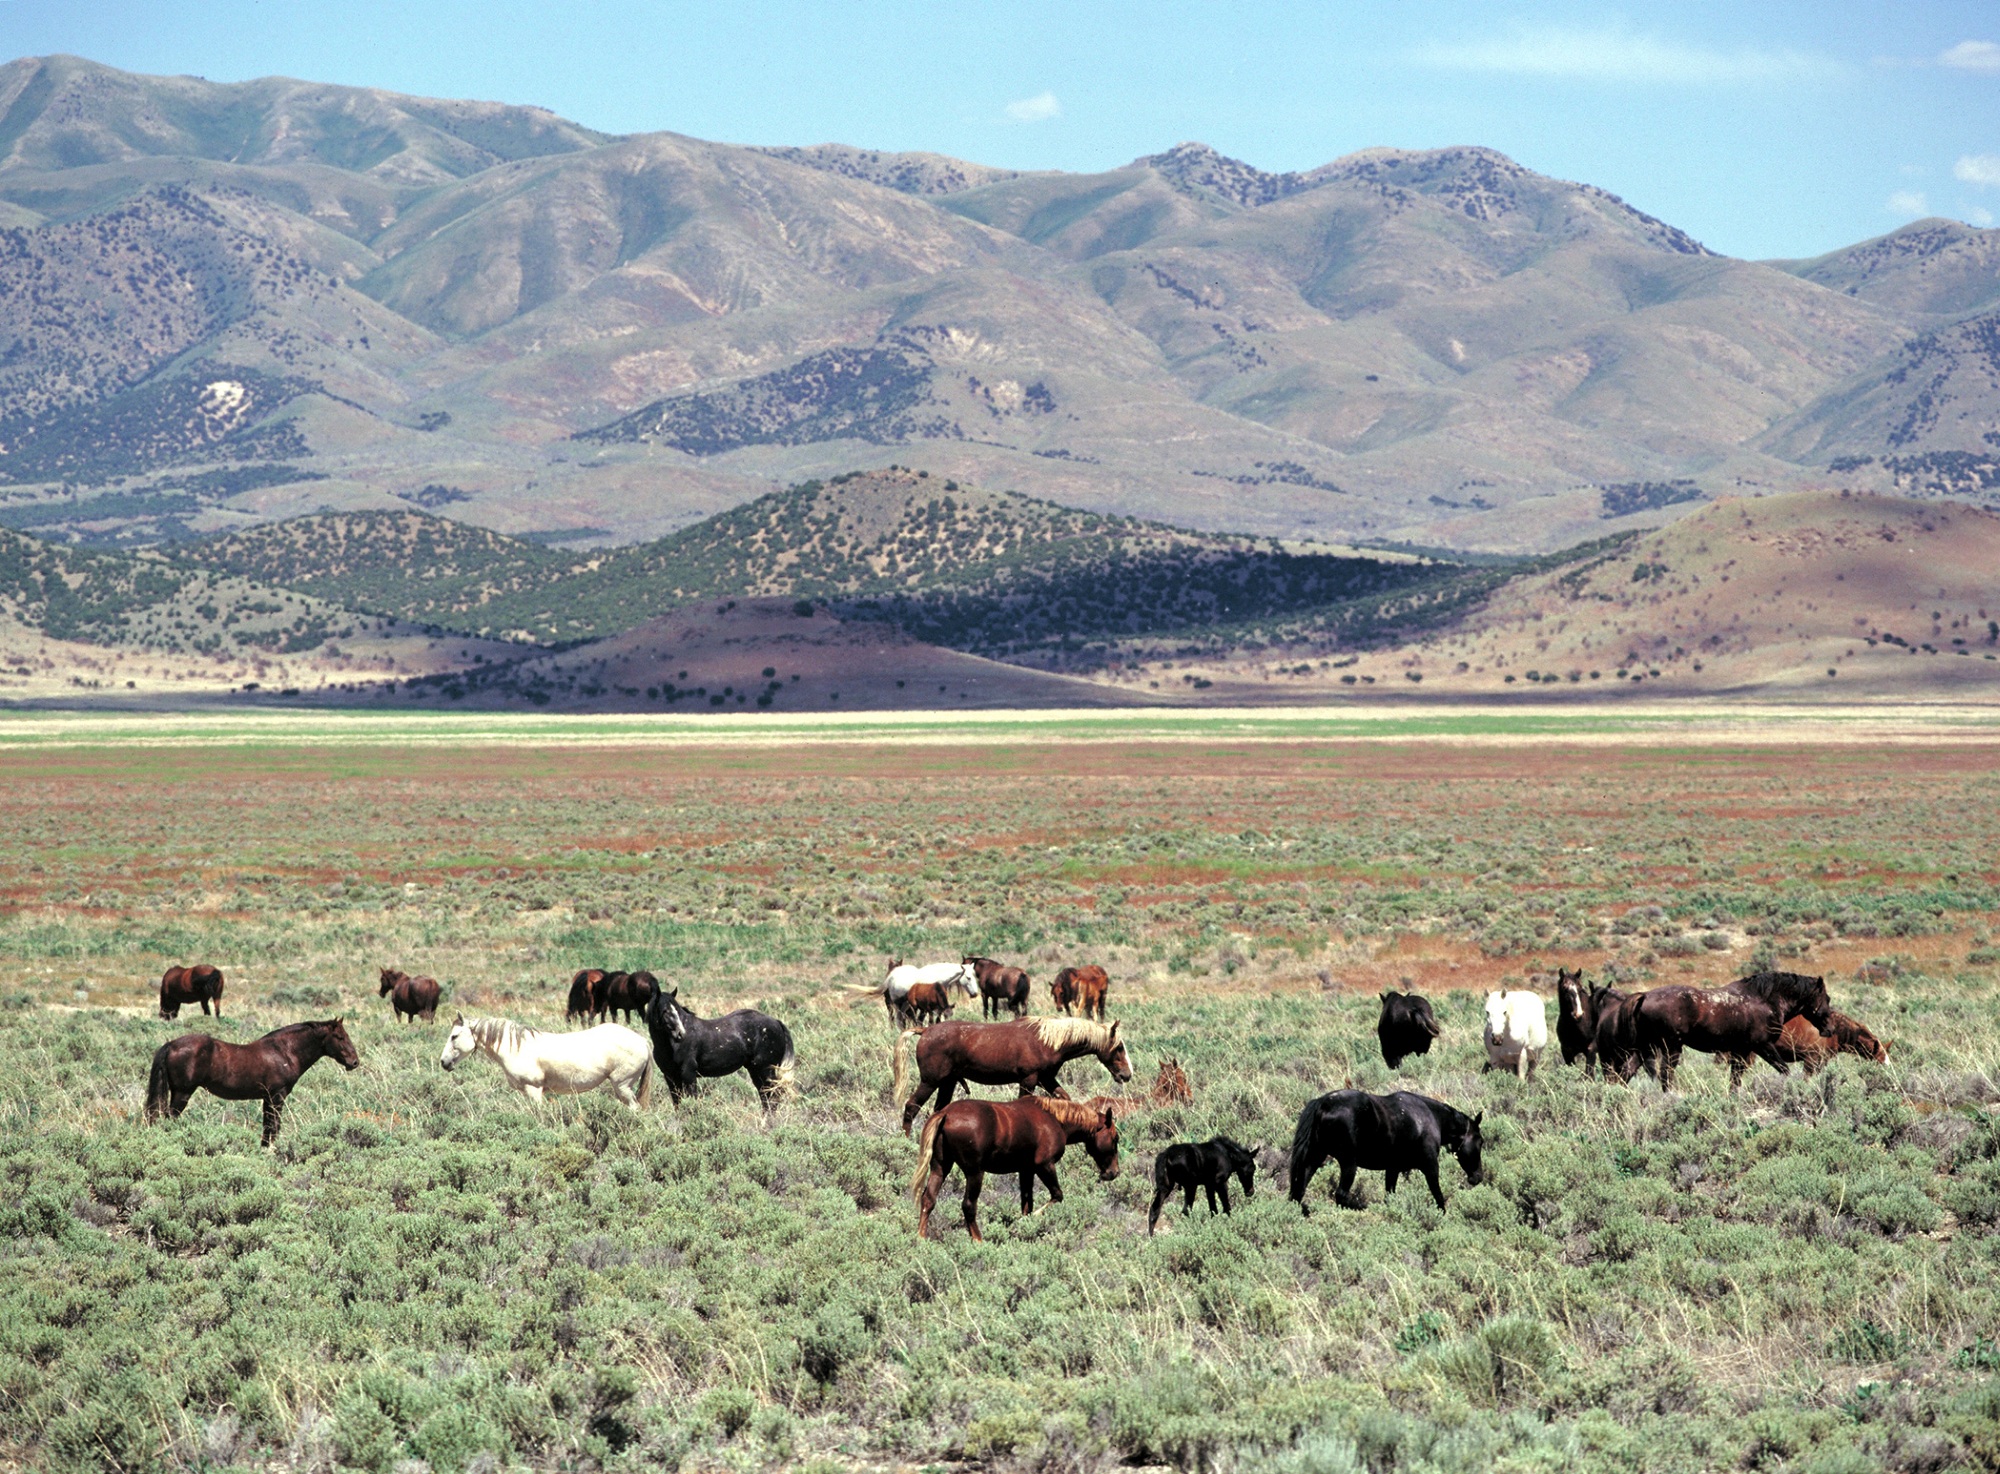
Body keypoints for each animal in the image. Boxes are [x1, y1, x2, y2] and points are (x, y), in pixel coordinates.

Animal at [146, 1016, 362, 1144]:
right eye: (339, 1037)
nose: (354, 1062)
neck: (284, 1052)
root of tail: (171, 1044)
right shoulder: (276, 1097)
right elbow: (274, 1126)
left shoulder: (267, 1098)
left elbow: (268, 1126)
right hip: (182, 1093)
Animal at [440, 1016, 652, 1112]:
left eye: (454, 1036)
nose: (443, 1062)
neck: (517, 1047)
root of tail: (643, 1041)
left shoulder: (534, 1090)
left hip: (622, 1086)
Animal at [640, 988, 796, 1112]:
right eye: (664, 1010)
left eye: (677, 1009)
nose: (681, 1033)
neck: (671, 1045)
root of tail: (777, 1022)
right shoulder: (671, 1077)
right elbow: (677, 1104)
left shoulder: (688, 1074)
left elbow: (692, 1101)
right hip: (756, 1071)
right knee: (766, 1098)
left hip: (766, 1071)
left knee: (773, 1098)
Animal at [896, 1012, 1136, 1136]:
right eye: (1118, 1047)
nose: (1126, 1075)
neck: (1047, 1040)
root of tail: (925, 1031)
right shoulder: (1028, 1080)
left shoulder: (1046, 1079)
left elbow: (1065, 1099)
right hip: (930, 1081)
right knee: (911, 1106)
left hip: (948, 1083)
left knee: (937, 1110)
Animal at [1288, 1088, 1480, 1216]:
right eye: (1480, 1141)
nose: (1478, 1177)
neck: (1430, 1118)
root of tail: (1323, 1103)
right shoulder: (1430, 1166)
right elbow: (1438, 1195)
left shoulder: (1392, 1169)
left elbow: (1389, 1195)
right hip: (1348, 1164)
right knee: (1340, 1194)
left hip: (1314, 1158)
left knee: (1298, 1190)